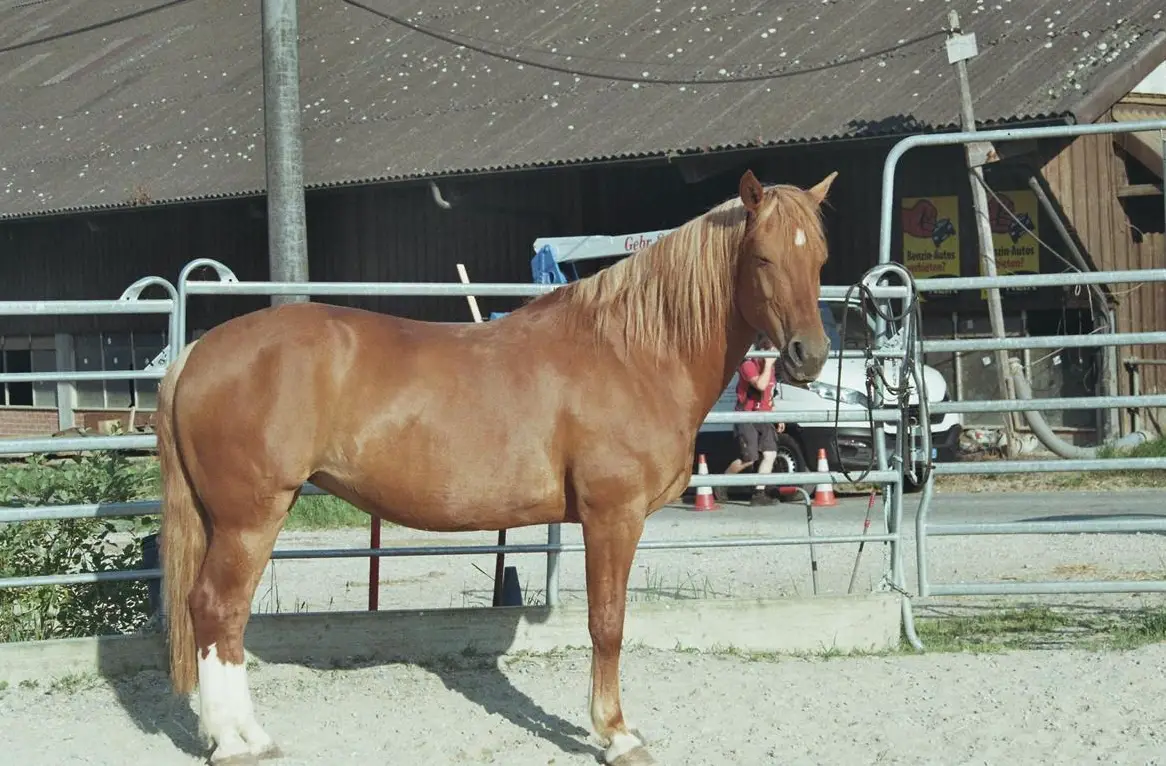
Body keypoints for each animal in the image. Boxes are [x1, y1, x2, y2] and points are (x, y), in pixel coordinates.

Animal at [157, 168, 837, 766]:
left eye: (821, 258)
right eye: (763, 257)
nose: (808, 355)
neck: (632, 352)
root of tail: (200, 351)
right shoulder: (612, 517)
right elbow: (608, 624)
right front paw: (616, 735)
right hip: (250, 518)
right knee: (217, 609)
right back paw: (238, 742)